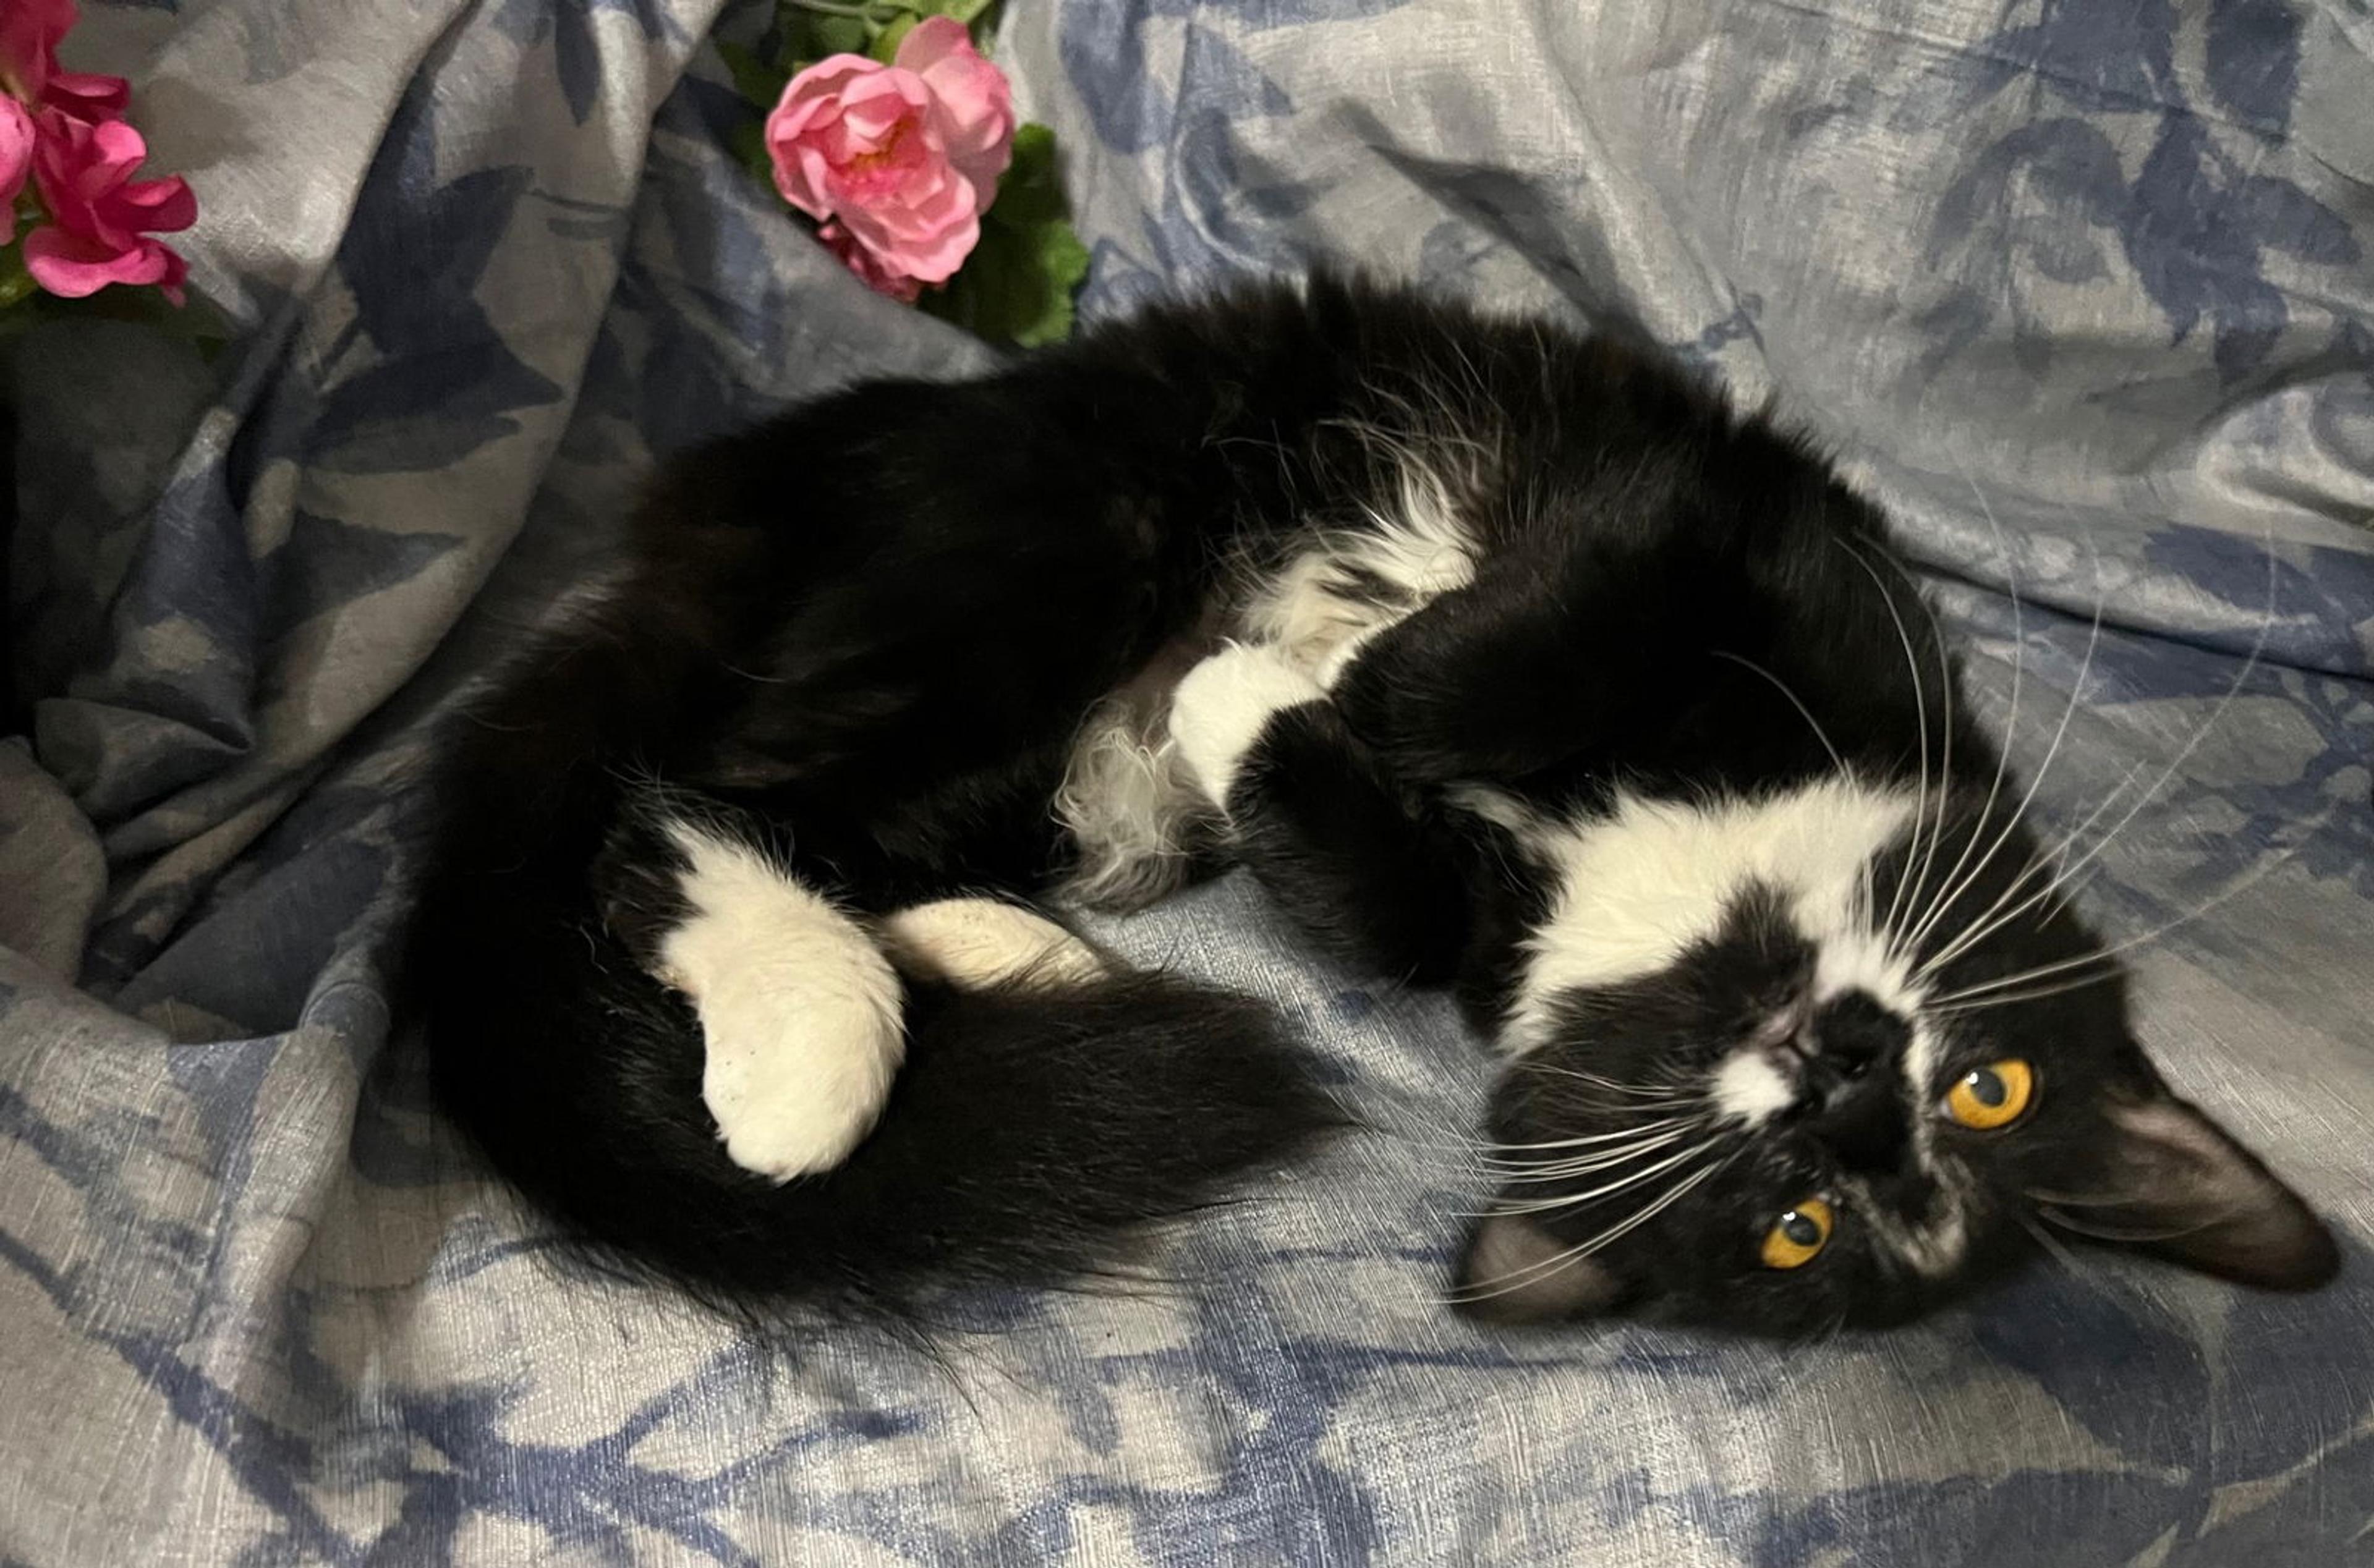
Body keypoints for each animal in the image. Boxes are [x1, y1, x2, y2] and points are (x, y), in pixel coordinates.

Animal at [401, 273, 2337, 1336]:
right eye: (1989, 1082)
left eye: (1799, 1223)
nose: (1844, 1074)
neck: (1662, 863)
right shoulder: (1747, 532)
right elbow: (1505, 639)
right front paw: (1328, 664)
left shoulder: (1478, 933)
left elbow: (1374, 891)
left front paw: (1251, 701)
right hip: (1038, 533)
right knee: (692, 790)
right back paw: (812, 1050)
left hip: (1018, 736)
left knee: (850, 814)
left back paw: (1008, 958)